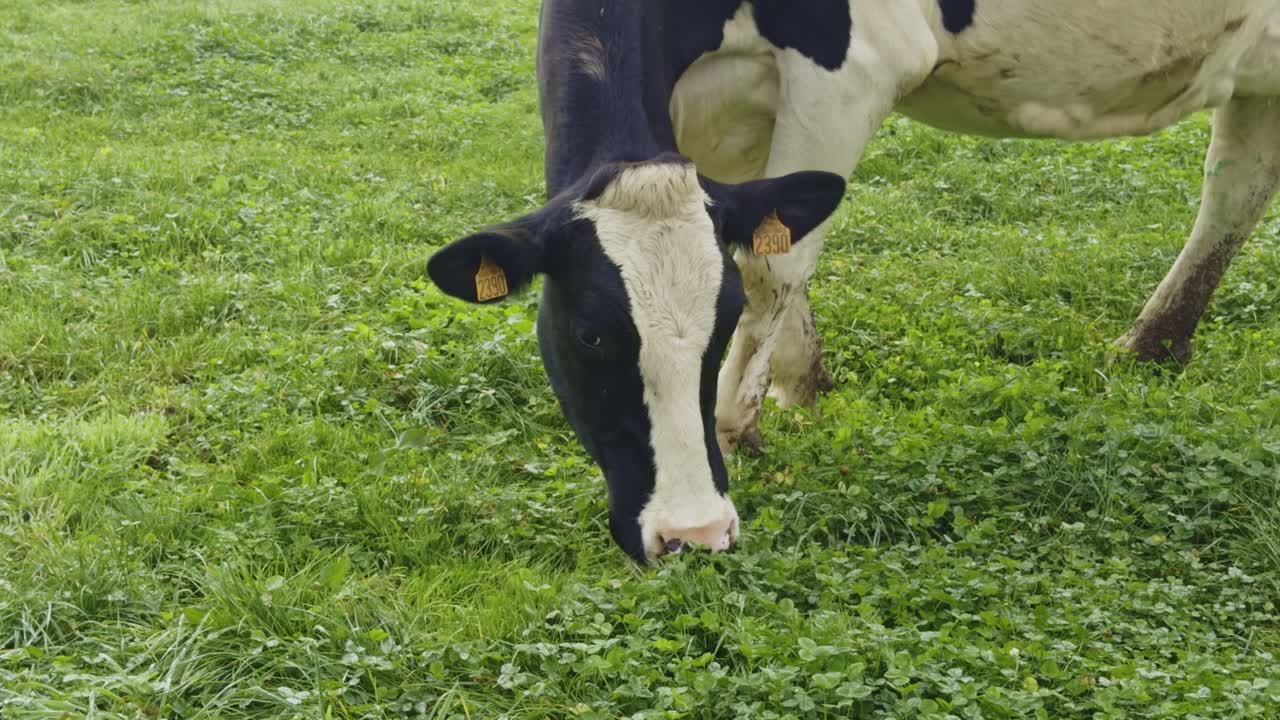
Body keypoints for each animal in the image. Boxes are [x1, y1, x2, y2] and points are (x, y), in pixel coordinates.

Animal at [427, 0, 1280, 562]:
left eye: (717, 329)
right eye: (589, 334)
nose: (692, 534)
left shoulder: (850, 66)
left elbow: (772, 266)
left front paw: (738, 427)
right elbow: (770, 240)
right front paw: (801, 385)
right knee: (1237, 184)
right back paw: (1152, 346)